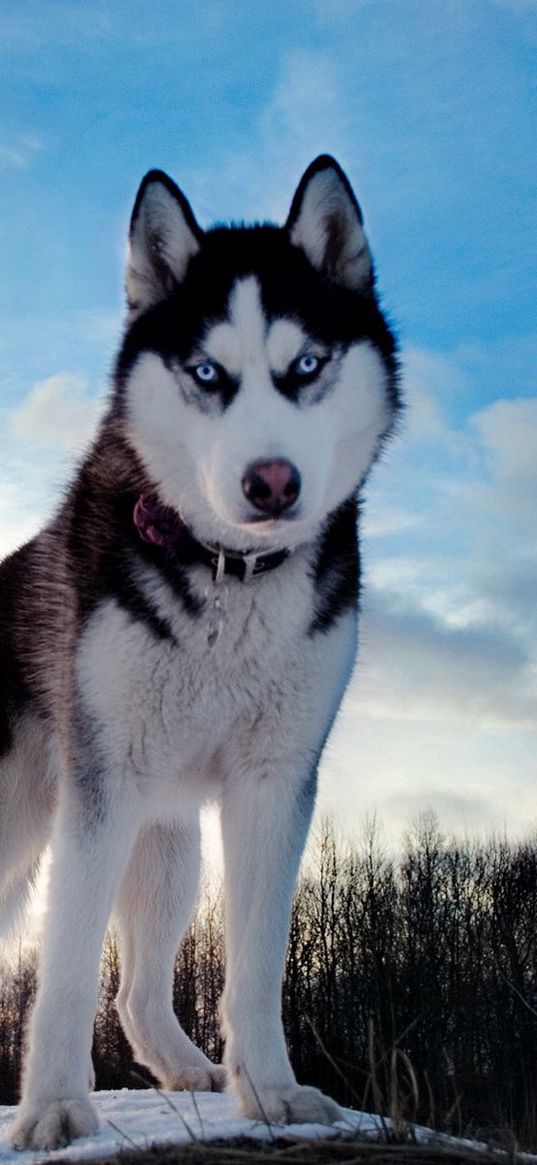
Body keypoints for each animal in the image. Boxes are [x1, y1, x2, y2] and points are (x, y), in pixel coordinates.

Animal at [0, 154, 396, 1146]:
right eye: (207, 372)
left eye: (306, 365)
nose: (271, 482)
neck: (230, 575)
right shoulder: (99, 785)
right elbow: (65, 965)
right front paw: (54, 1104)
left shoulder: (274, 781)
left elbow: (257, 962)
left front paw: (274, 1092)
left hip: (168, 844)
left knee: (138, 993)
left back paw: (184, 1066)